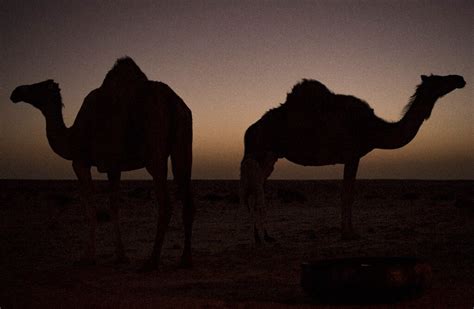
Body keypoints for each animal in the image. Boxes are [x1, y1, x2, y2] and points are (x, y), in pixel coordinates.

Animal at [9, 57, 194, 270]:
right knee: (187, 197)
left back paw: (152, 261)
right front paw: (119, 256)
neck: (72, 136)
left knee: (165, 203)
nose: (16, 91)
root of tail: (174, 102)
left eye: (37, 86)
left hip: (154, 152)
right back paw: (185, 260)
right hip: (183, 146)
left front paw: (89, 257)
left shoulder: (81, 162)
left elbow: (92, 208)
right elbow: (111, 206)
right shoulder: (113, 166)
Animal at [243, 73, 464, 242]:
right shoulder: (352, 155)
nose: (459, 79)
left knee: (257, 189)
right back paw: (260, 238)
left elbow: (348, 194)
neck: (372, 128)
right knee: (255, 190)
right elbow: (347, 195)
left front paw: (348, 231)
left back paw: (264, 236)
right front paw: (348, 234)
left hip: (270, 157)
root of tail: (249, 131)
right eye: (439, 79)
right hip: (260, 152)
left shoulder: (353, 157)